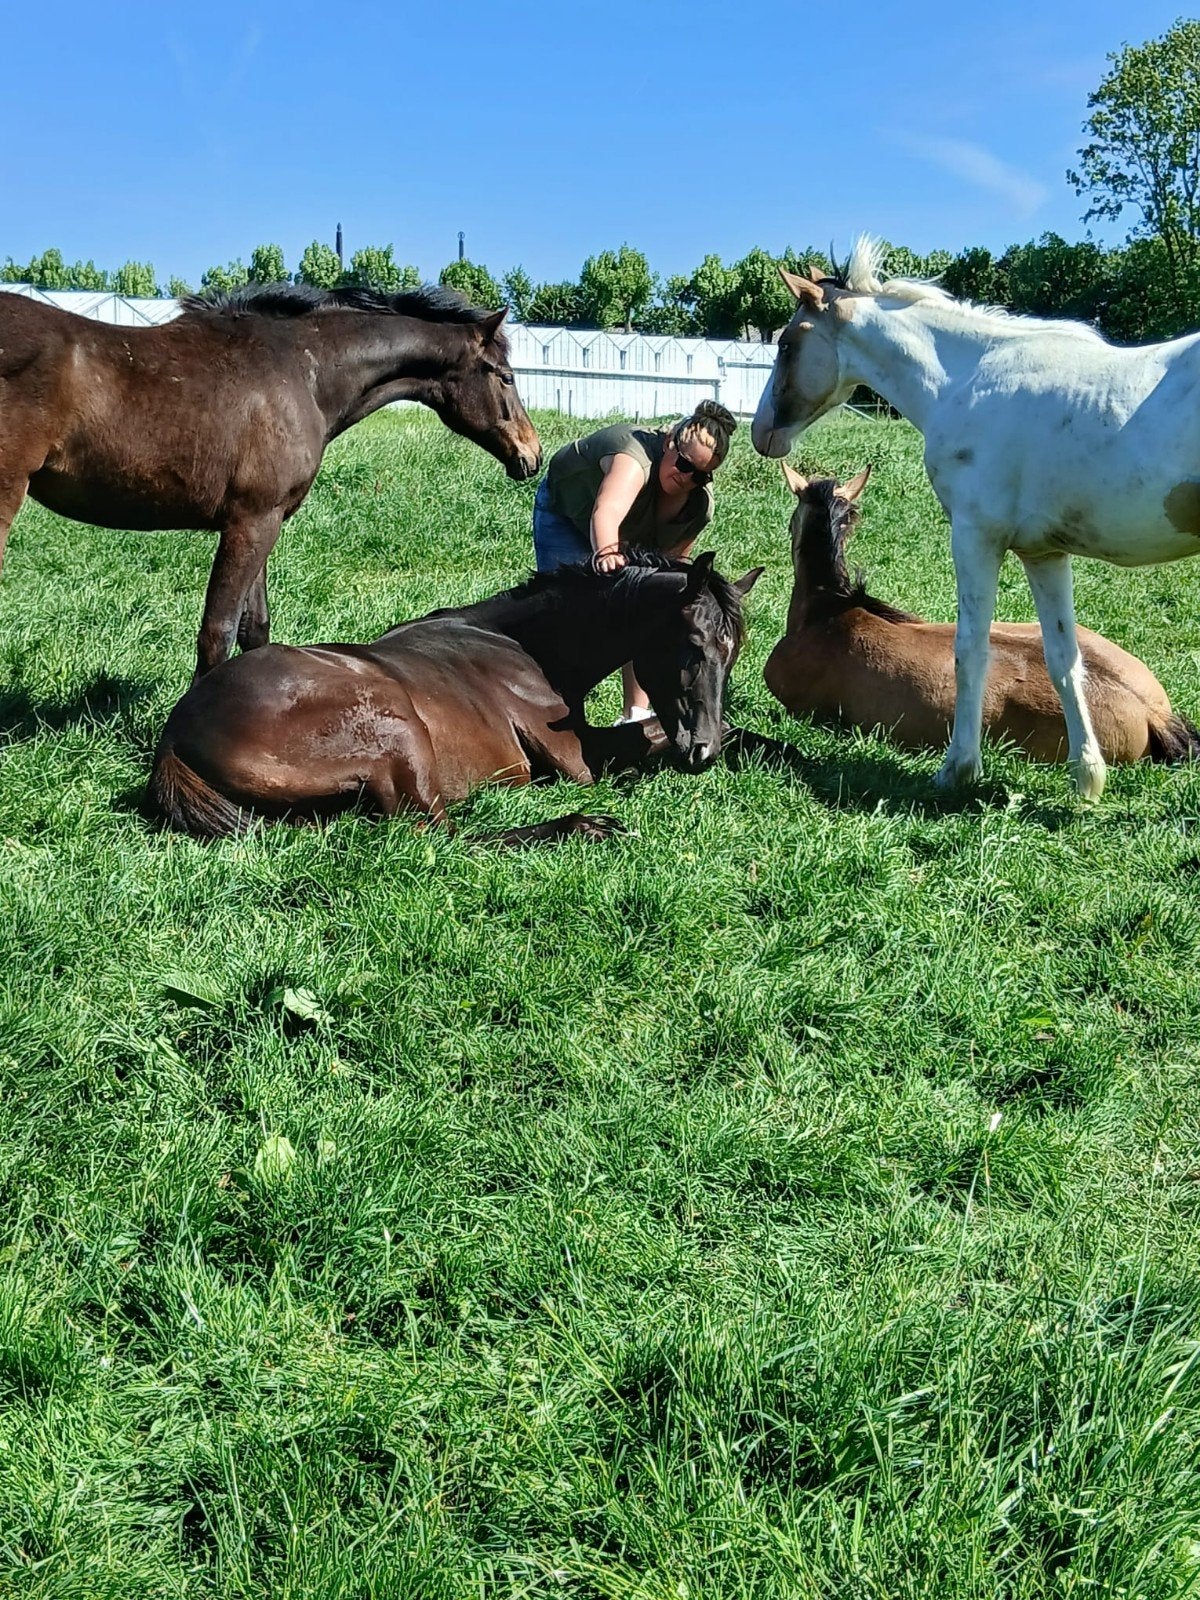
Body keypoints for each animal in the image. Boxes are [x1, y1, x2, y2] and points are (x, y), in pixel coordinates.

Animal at [0, 283, 542, 678]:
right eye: (506, 376)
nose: (532, 454)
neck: (300, 369)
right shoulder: (253, 522)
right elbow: (217, 631)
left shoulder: (261, 519)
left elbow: (253, 628)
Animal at [149, 550, 762, 843]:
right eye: (692, 646)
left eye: (733, 654)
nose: (701, 752)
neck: (527, 646)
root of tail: (176, 735)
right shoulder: (580, 760)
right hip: (396, 729)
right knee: (437, 837)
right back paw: (583, 827)